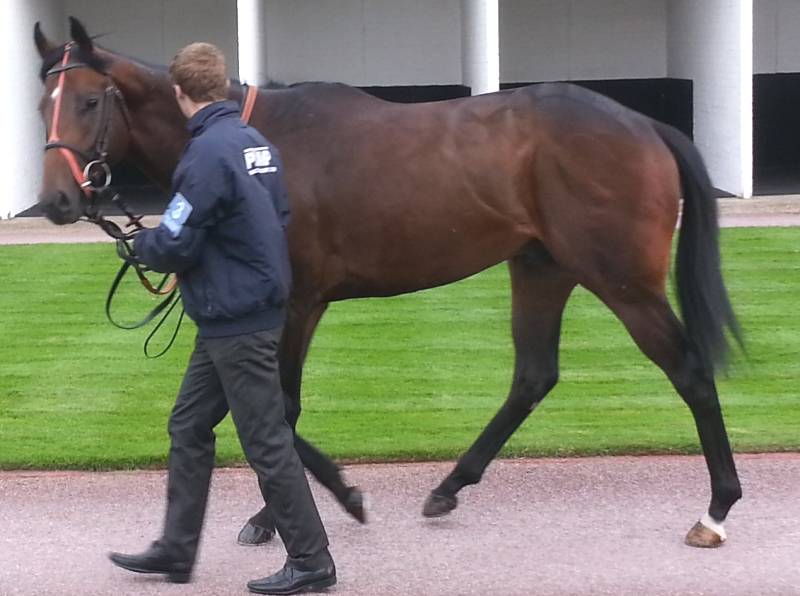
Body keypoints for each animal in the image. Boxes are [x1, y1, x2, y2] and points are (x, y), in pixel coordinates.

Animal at [34, 17, 742, 549]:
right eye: (42, 105)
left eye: (89, 101)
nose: (58, 201)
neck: (254, 142)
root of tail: (645, 123)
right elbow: (256, 409)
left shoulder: (297, 302)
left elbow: (278, 409)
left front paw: (318, 504)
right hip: (542, 266)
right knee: (534, 375)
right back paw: (449, 487)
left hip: (621, 278)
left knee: (688, 369)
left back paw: (716, 510)